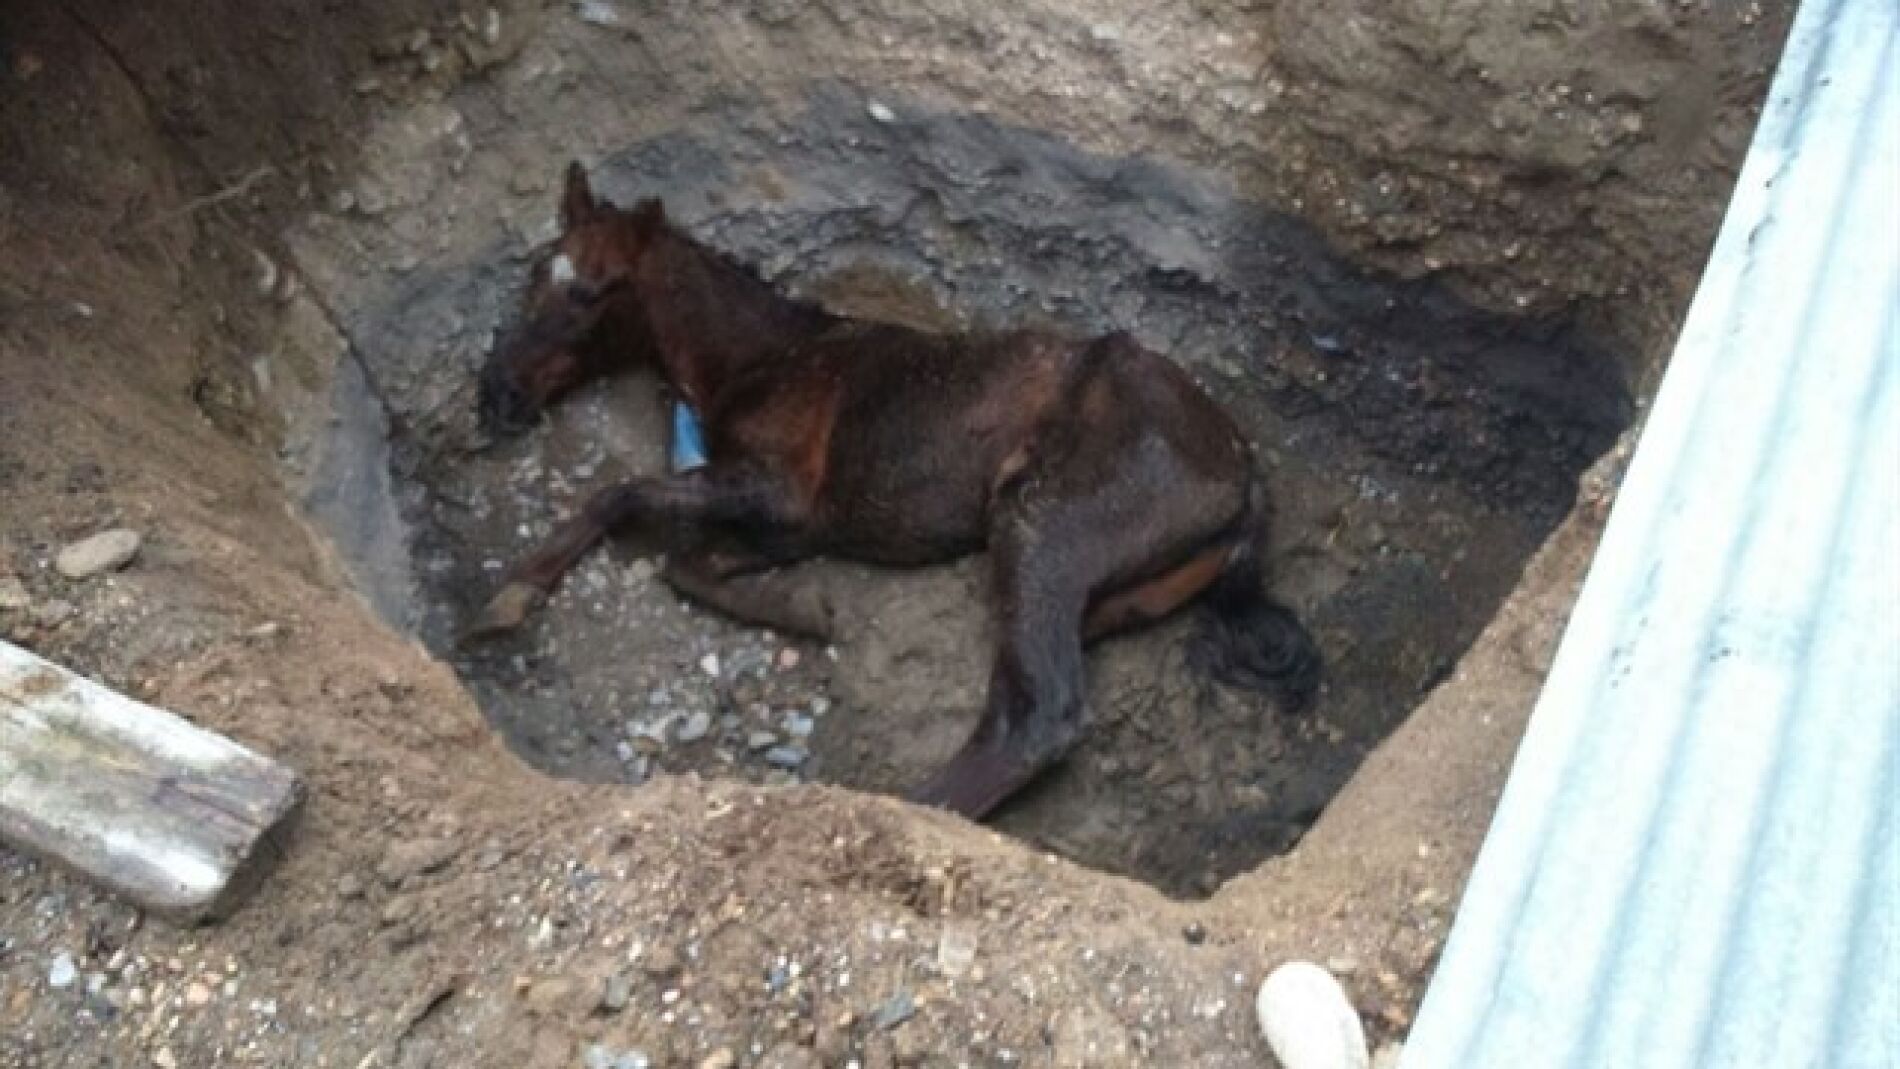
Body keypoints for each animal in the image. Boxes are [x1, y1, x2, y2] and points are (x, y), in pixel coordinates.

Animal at [470, 161, 1320, 818]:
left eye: (592, 293)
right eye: (535, 272)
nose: (495, 394)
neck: (764, 357)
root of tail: (1243, 472)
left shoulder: (780, 489)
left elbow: (621, 499)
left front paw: (513, 592)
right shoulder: (790, 520)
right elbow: (690, 561)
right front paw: (806, 608)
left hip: (1042, 525)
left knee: (1033, 716)